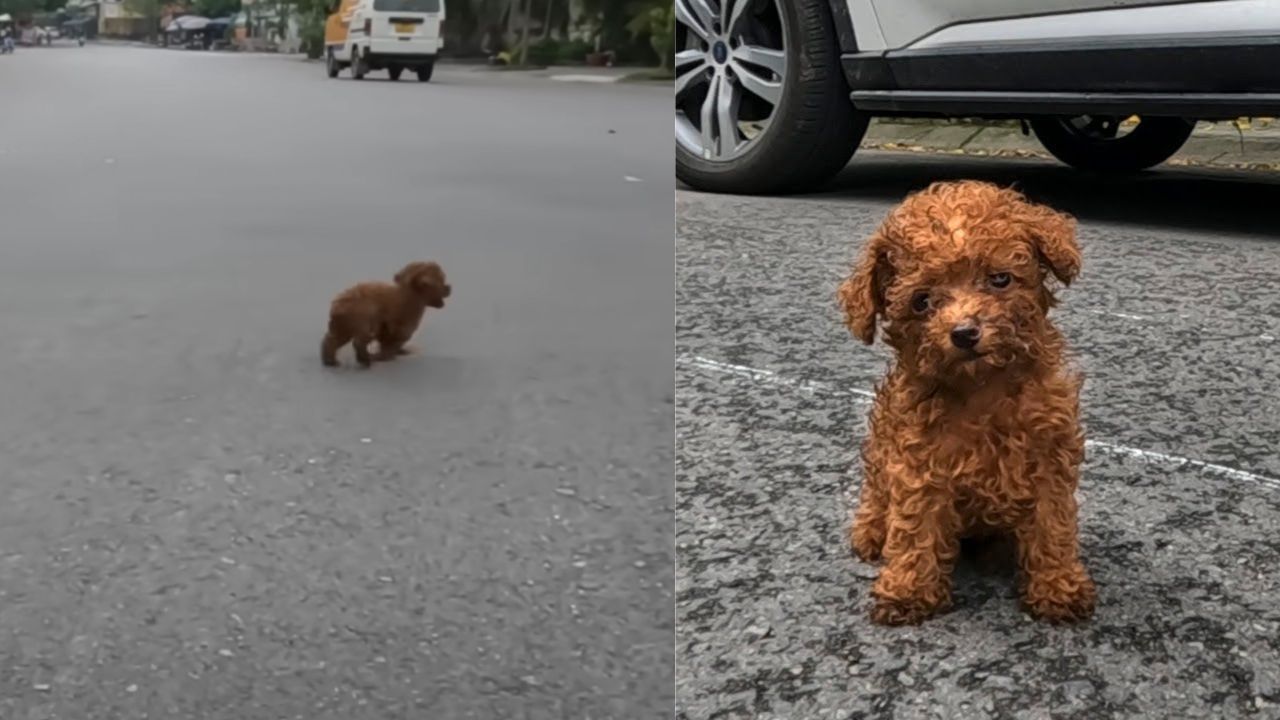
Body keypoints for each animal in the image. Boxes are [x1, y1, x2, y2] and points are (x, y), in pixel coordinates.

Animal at [320, 260, 450, 366]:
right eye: (442, 282)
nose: (449, 288)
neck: (412, 296)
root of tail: (338, 305)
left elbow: (387, 339)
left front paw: (400, 351)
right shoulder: (400, 321)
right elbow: (393, 340)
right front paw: (385, 356)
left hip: (344, 322)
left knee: (335, 338)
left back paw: (330, 360)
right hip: (361, 316)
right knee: (361, 338)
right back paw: (365, 360)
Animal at [834, 179, 1095, 622]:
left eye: (1000, 279)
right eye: (922, 301)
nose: (964, 332)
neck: (982, 389)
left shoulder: (1049, 457)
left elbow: (1052, 523)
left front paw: (1058, 586)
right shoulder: (919, 463)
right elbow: (915, 526)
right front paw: (908, 590)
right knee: (876, 494)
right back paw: (870, 531)